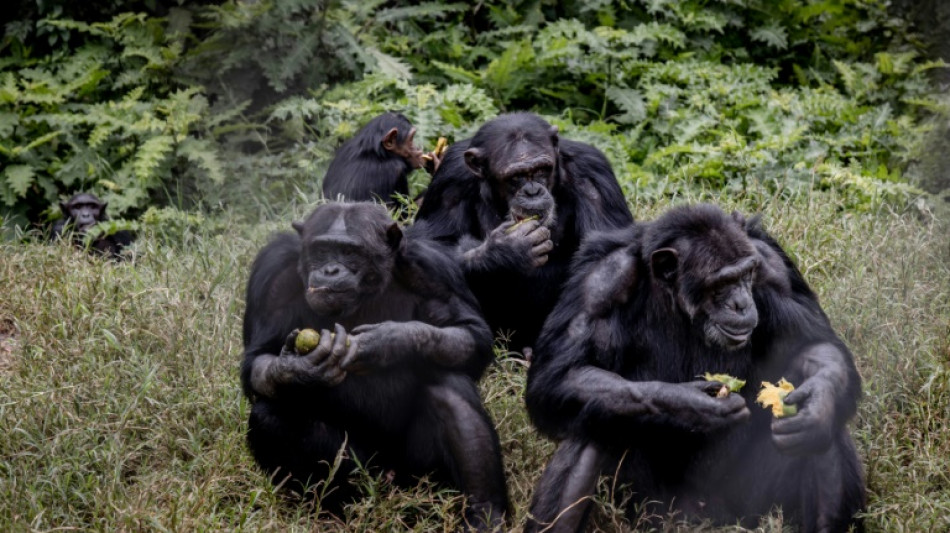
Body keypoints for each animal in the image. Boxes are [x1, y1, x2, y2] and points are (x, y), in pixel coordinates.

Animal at [242, 201, 510, 528]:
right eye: (322, 250)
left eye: (350, 252)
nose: (330, 270)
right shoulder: (273, 275)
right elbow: (258, 357)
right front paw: (300, 370)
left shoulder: (434, 267)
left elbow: (471, 333)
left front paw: (389, 341)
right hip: (367, 474)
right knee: (270, 415)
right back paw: (332, 514)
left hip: (421, 481)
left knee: (449, 384)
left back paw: (485, 513)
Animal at [414, 111, 632, 354]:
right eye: (515, 177)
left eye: (541, 170)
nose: (532, 191)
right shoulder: (450, 176)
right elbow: (431, 242)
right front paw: (506, 251)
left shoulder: (593, 173)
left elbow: (606, 250)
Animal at [524, 203, 868, 532]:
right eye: (722, 283)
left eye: (746, 274)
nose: (741, 303)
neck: (675, 297)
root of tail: (699, 516)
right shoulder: (600, 283)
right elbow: (561, 375)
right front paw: (692, 405)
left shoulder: (772, 266)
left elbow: (814, 343)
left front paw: (817, 407)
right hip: (648, 509)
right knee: (594, 420)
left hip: (747, 505)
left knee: (824, 431)